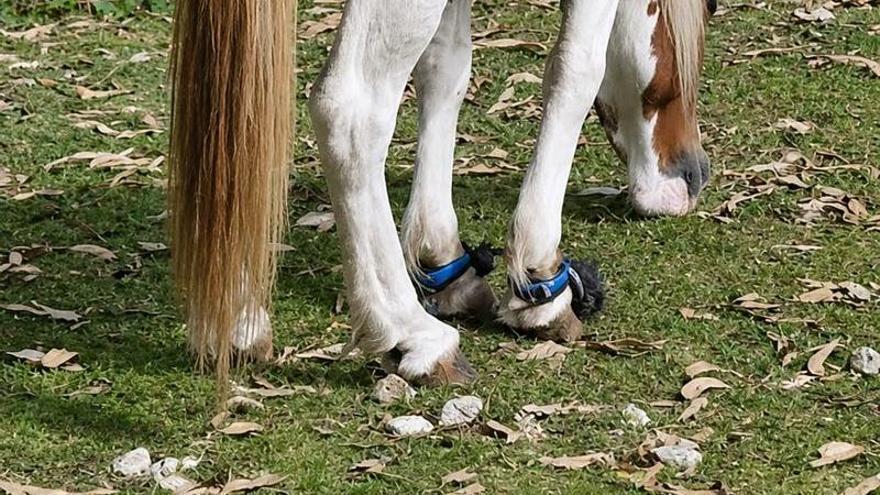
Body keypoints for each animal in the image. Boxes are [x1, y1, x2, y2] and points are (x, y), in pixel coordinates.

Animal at [168, 0, 714, 389]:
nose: (692, 176)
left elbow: (445, 64)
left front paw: (441, 257)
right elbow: (576, 69)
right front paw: (540, 281)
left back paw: (237, 324)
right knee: (350, 111)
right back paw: (411, 335)